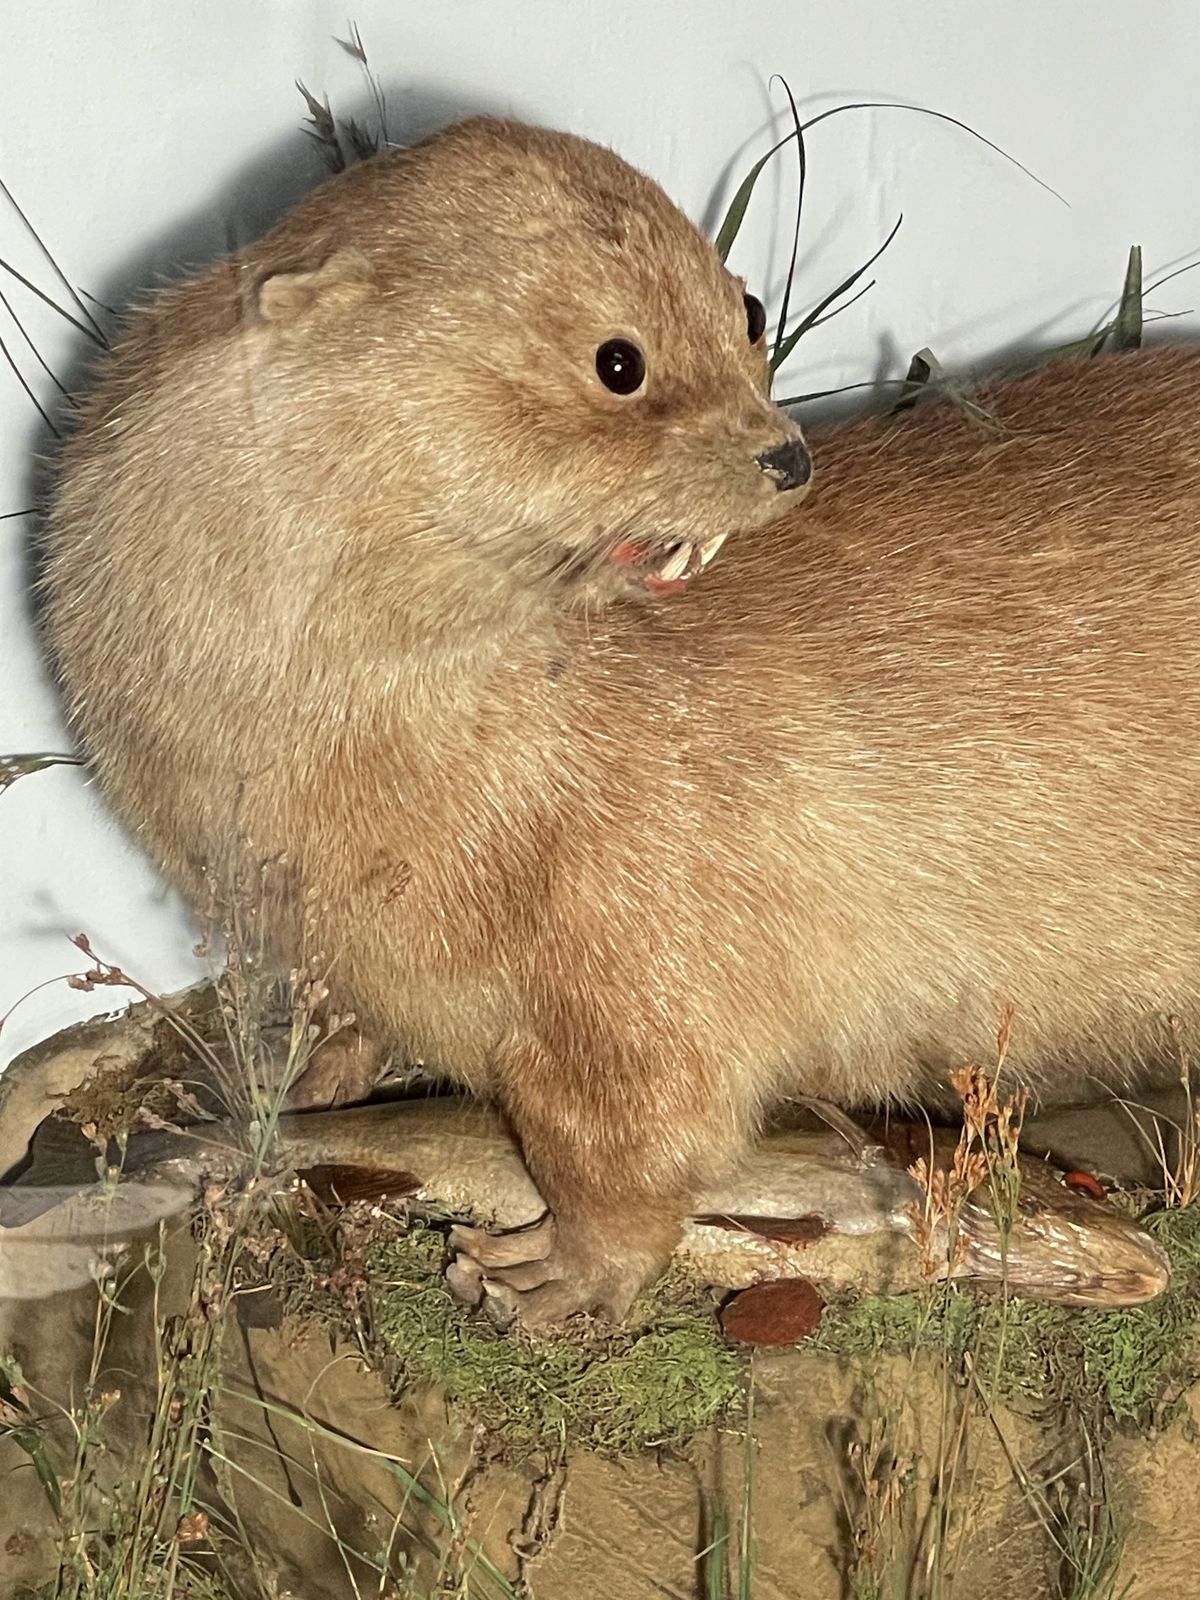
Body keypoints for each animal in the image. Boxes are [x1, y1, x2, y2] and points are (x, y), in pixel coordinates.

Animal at [40, 115, 1200, 1323]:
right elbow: (350, 1031)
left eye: (747, 308)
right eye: (619, 361)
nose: (787, 454)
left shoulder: (641, 951)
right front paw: (278, 1079)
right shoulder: (338, 941)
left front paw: (545, 1278)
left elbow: (636, 1146)